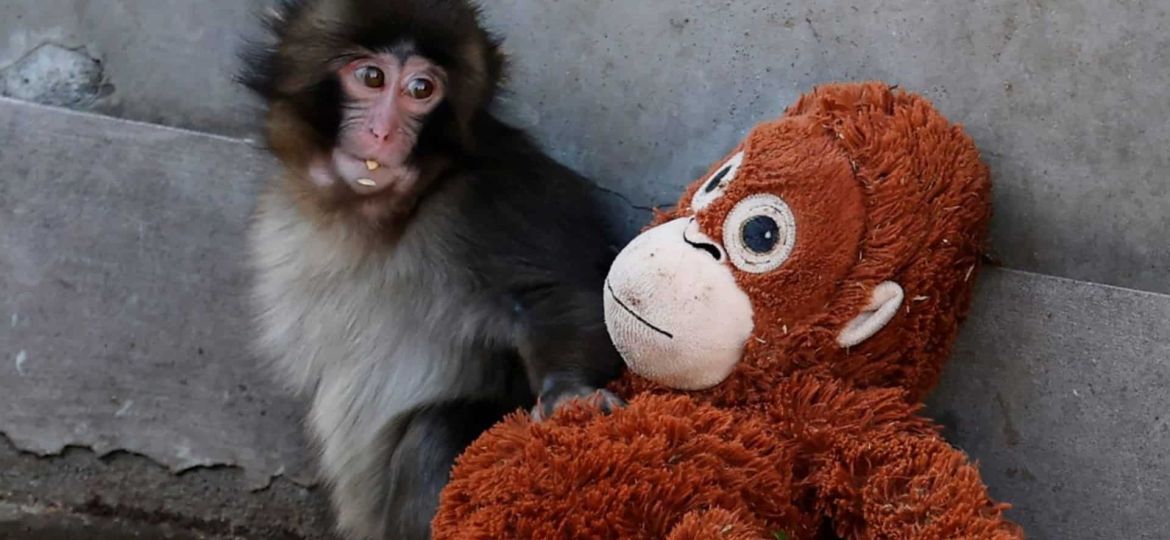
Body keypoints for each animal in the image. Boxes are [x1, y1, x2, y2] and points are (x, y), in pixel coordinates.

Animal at [237, 1, 626, 538]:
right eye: (371, 77)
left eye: (422, 89)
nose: (383, 132)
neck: (380, 215)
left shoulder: (494, 197)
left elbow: (558, 294)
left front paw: (570, 393)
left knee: (435, 435)